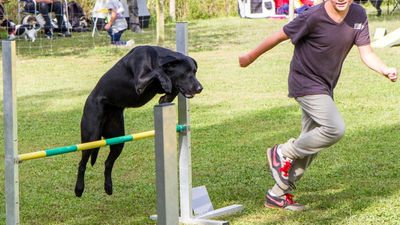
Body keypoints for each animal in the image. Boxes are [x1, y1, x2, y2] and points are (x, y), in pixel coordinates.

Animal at [75, 44, 203, 196]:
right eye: (186, 73)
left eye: (195, 72)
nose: (200, 88)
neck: (154, 58)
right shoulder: (140, 83)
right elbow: (158, 71)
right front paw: (166, 82)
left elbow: (170, 91)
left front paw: (167, 93)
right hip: (91, 137)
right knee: (82, 164)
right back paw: (79, 188)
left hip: (119, 139)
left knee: (108, 163)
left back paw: (108, 187)